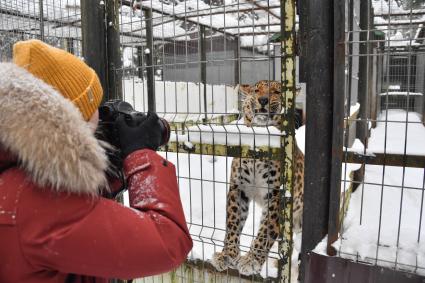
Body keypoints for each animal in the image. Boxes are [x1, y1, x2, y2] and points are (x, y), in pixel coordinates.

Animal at [210, 81, 304, 276]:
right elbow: (233, 222)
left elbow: (265, 231)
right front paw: (227, 254)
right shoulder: (238, 188)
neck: (258, 140)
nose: (263, 99)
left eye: (276, 91)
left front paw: (251, 260)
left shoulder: (276, 195)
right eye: (256, 90)